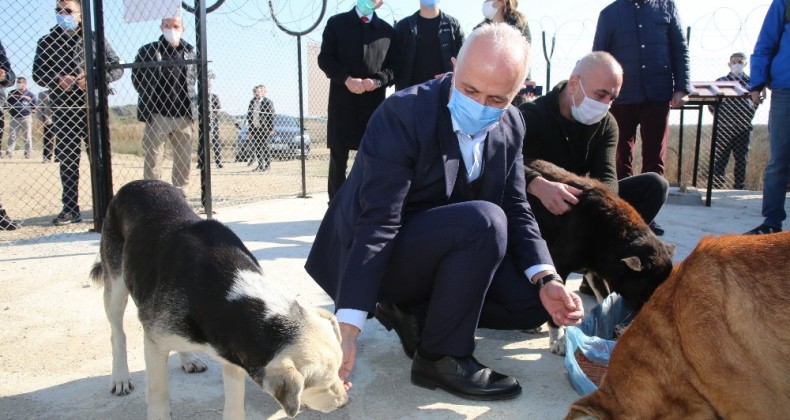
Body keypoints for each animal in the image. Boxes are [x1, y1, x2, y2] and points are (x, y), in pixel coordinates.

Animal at [91, 180, 348, 420]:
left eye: (339, 370)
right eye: (319, 385)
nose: (344, 402)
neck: (225, 292)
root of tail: (137, 183)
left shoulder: (232, 356)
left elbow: (234, 408)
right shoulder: (154, 345)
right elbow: (158, 397)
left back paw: (188, 358)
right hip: (115, 283)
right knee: (117, 333)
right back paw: (121, 377)